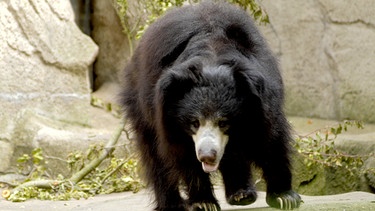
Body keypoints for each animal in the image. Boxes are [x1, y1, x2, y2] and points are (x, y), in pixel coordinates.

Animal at [120, 1, 302, 211]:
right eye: (194, 123)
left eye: (223, 122)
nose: (207, 156)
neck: (212, 59)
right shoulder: (167, 113)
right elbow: (181, 152)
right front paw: (204, 203)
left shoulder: (263, 100)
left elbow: (271, 139)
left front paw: (284, 197)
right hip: (139, 105)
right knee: (154, 154)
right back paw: (172, 204)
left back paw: (241, 194)